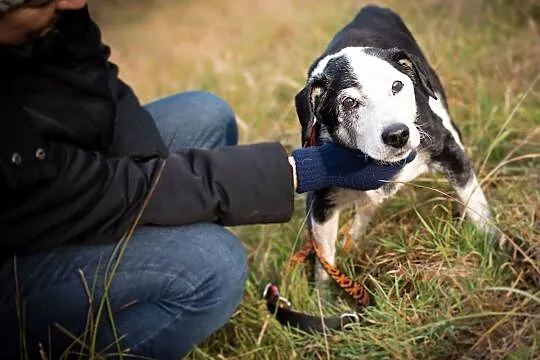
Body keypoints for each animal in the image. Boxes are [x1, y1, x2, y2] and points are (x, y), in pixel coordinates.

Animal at [296, 4, 498, 286]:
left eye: (397, 85)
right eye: (348, 102)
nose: (397, 135)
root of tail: (368, 8)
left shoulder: (449, 152)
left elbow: (476, 206)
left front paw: (495, 246)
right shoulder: (322, 202)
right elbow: (325, 263)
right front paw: (324, 296)